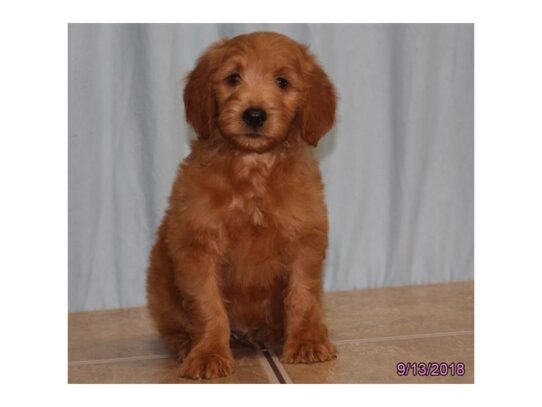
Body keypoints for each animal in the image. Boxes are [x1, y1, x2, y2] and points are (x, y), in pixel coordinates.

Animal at [147, 31, 338, 380]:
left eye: (282, 82)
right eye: (233, 78)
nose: (254, 115)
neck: (253, 169)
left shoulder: (305, 237)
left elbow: (303, 296)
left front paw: (306, 342)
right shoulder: (196, 244)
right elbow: (207, 305)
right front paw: (208, 353)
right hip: (160, 273)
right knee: (173, 326)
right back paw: (186, 345)